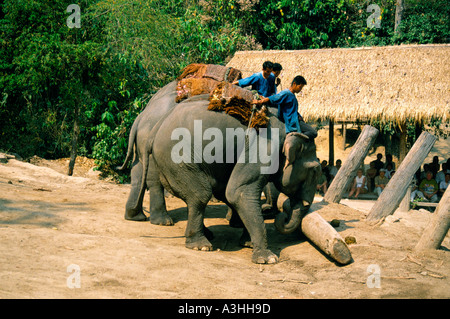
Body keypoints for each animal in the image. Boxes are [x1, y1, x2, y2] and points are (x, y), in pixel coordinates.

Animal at [137, 97, 320, 264]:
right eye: (315, 170)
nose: (282, 216)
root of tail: (156, 128)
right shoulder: (263, 146)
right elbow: (238, 192)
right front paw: (267, 259)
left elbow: (228, 192)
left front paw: (248, 243)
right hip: (177, 157)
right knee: (201, 195)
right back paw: (201, 245)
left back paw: (206, 235)